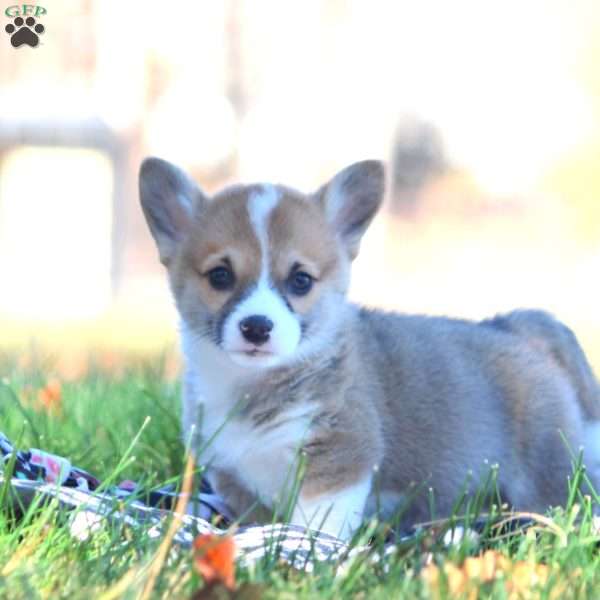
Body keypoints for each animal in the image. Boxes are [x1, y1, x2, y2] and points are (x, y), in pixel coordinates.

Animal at [138, 156, 600, 540]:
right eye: (220, 275)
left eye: (301, 280)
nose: (256, 327)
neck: (251, 387)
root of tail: (515, 329)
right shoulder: (233, 475)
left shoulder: (340, 456)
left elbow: (317, 523)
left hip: (545, 471)